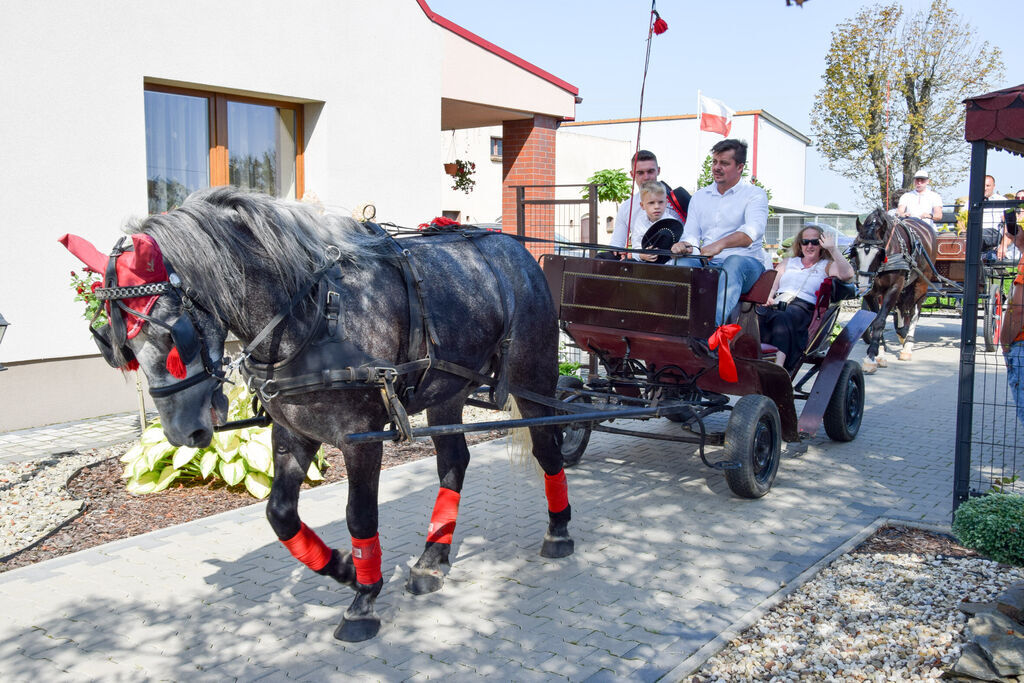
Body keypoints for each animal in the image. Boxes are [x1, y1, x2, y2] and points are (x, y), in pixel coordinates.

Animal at [59, 187, 573, 643]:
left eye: (172, 336)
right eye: (118, 346)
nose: (184, 431)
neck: (311, 316)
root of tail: (514, 248)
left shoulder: (361, 437)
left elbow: (360, 516)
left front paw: (364, 598)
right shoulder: (292, 433)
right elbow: (280, 515)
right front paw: (344, 568)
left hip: (535, 379)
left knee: (548, 447)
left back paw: (559, 531)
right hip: (446, 390)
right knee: (453, 464)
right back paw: (432, 560)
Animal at [847, 208, 937, 374]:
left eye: (879, 253)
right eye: (855, 251)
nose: (862, 286)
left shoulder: (894, 287)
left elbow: (880, 321)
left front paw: (871, 356)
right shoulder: (871, 292)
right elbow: (876, 318)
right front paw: (880, 353)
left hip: (922, 281)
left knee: (915, 310)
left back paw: (907, 346)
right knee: (901, 305)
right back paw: (901, 332)